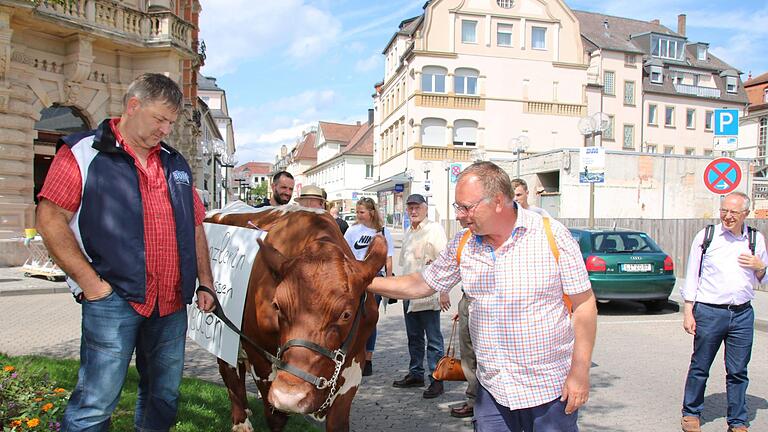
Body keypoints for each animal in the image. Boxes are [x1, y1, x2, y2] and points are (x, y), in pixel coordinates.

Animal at [206, 207, 388, 432]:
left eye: (346, 314)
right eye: (277, 306)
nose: (290, 397)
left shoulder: (355, 364)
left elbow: (338, 420)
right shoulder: (259, 358)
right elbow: (275, 417)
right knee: (229, 372)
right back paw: (241, 423)